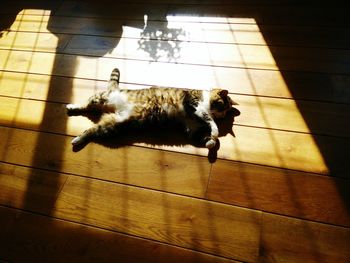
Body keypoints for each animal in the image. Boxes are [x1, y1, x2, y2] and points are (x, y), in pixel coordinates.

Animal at [65, 68, 237, 150]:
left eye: (225, 112)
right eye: (221, 105)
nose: (221, 115)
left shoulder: (192, 128)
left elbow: (202, 137)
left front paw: (211, 142)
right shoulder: (193, 104)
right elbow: (210, 120)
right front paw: (215, 132)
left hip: (112, 125)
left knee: (90, 130)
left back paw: (77, 140)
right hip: (102, 98)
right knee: (86, 104)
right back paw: (71, 107)